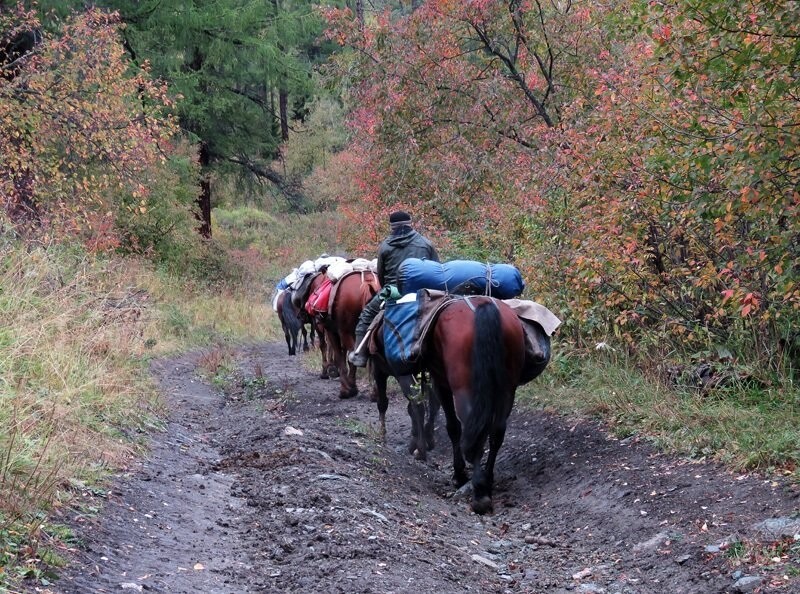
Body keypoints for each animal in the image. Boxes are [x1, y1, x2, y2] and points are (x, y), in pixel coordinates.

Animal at [428, 296, 528, 512]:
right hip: (507, 389)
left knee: (473, 430)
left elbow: (453, 427)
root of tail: (483, 306)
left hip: (463, 388)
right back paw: (487, 480)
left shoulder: (440, 383)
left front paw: (459, 475)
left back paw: (480, 493)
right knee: (497, 431)